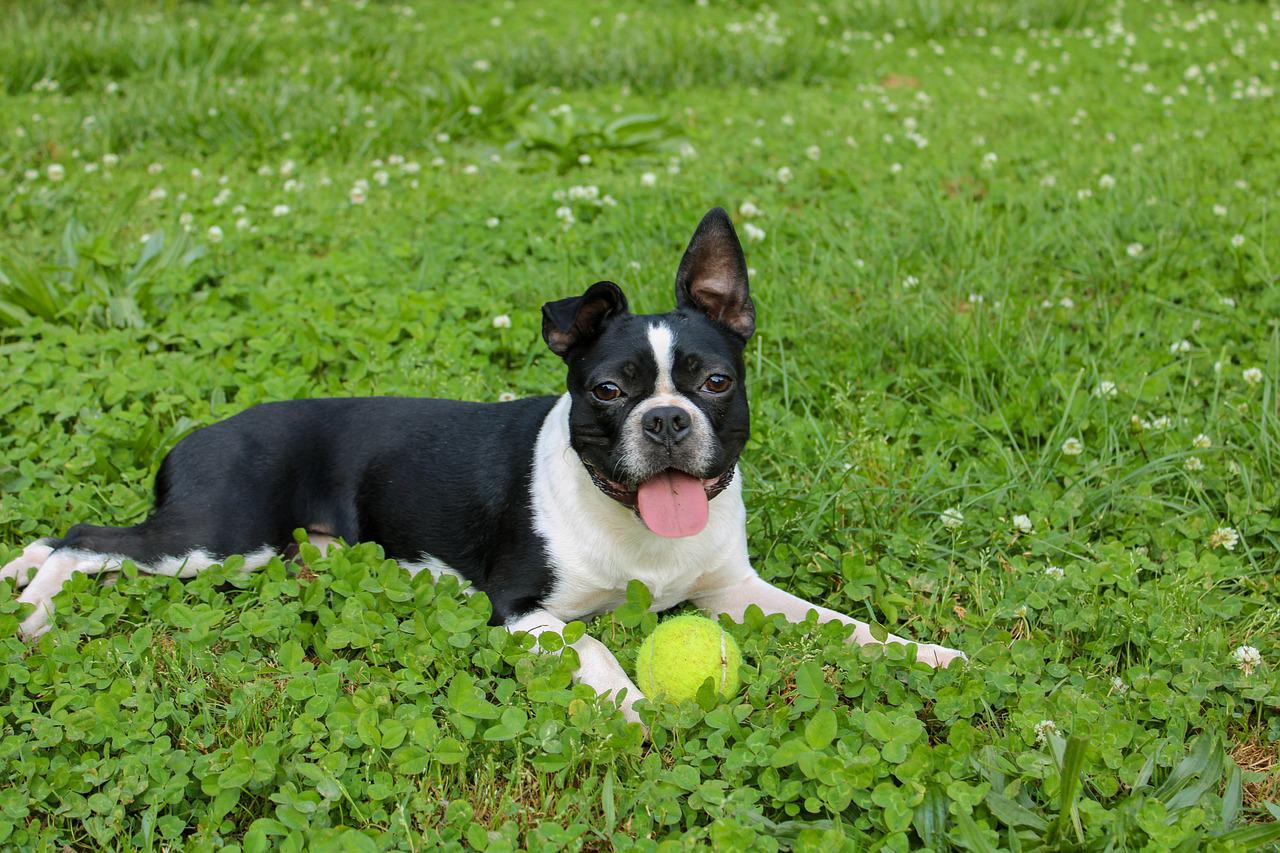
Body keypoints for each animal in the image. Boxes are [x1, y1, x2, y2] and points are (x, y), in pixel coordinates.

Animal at [0, 206, 962, 717]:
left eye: (716, 381)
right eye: (607, 390)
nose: (664, 420)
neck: (637, 530)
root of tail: (200, 431)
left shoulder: (736, 591)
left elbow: (838, 621)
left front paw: (930, 653)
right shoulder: (523, 610)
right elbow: (599, 648)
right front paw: (633, 709)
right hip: (215, 536)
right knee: (83, 537)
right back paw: (37, 612)